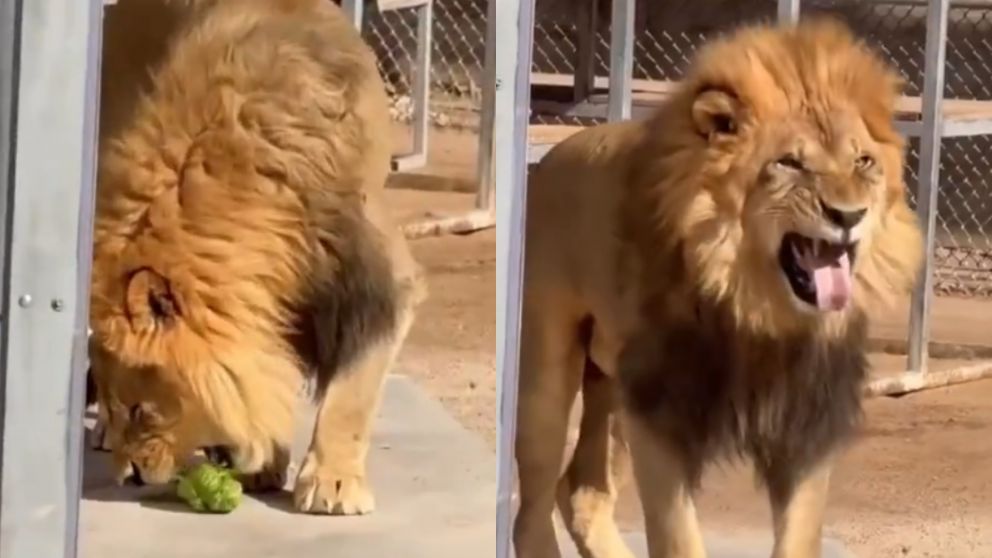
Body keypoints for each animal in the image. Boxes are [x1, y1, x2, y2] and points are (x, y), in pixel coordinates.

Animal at [88, 0, 426, 516]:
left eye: (143, 410)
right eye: (129, 408)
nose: (129, 479)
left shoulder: (376, 283)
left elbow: (351, 394)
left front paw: (332, 483)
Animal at [513, 18, 923, 558]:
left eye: (863, 162)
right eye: (790, 164)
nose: (849, 215)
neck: (763, 314)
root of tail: (555, 154)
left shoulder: (807, 425)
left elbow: (798, 538)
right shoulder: (661, 412)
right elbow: (679, 539)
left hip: (613, 384)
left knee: (582, 492)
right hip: (550, 371)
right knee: (532, 508)